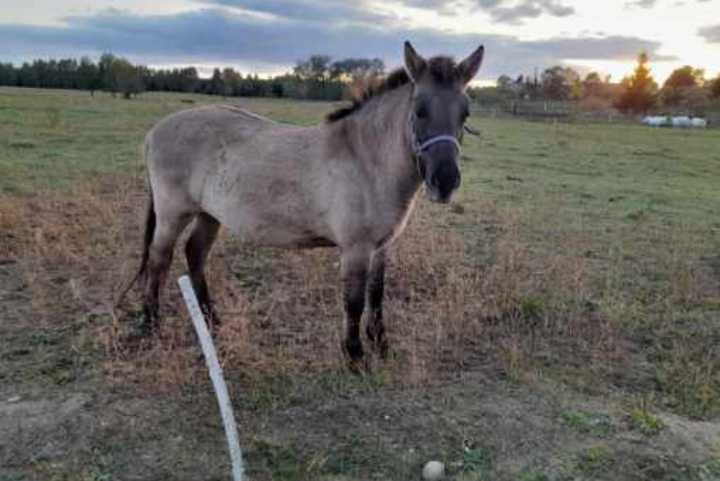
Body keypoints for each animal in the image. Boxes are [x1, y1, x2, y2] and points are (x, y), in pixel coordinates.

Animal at [126, 42, 484, 368]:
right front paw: (355, 356)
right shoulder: (356, 249)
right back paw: (152, 324)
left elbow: (377, 294)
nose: (445, 182)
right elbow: (354, 301)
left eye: (465, 113)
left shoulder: (382, 247)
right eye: (420, 110)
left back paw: (212, 320)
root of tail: (155, 131)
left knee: (195, 254)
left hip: (209, 214)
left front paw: (381, 345)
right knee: (159, 260)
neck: (365, 158)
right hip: (173, 213)